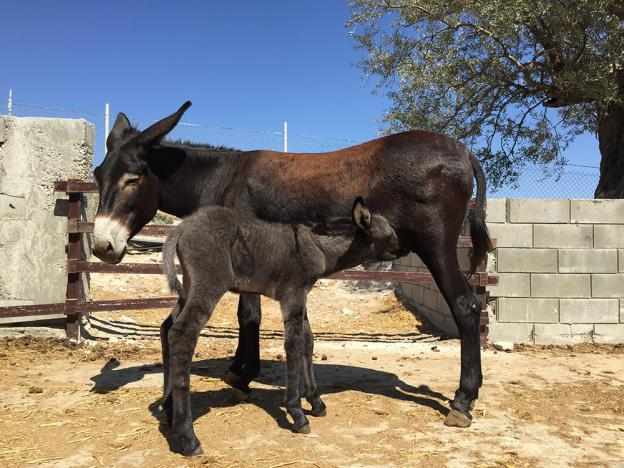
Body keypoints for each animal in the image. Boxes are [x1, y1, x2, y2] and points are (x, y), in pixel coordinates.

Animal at [161, 197, 402, 454]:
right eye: (390, 233)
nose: (403, 249)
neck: (319, 247)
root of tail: (181, 227)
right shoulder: (292, 295)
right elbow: (294, 346)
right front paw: (297, 413)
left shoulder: (302, 299)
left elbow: (308, 342)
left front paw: (316, 402)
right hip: (208, 285)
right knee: (182, 334)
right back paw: (188, 438)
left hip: (189, 286)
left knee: (167, 327)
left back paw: (169, 410)